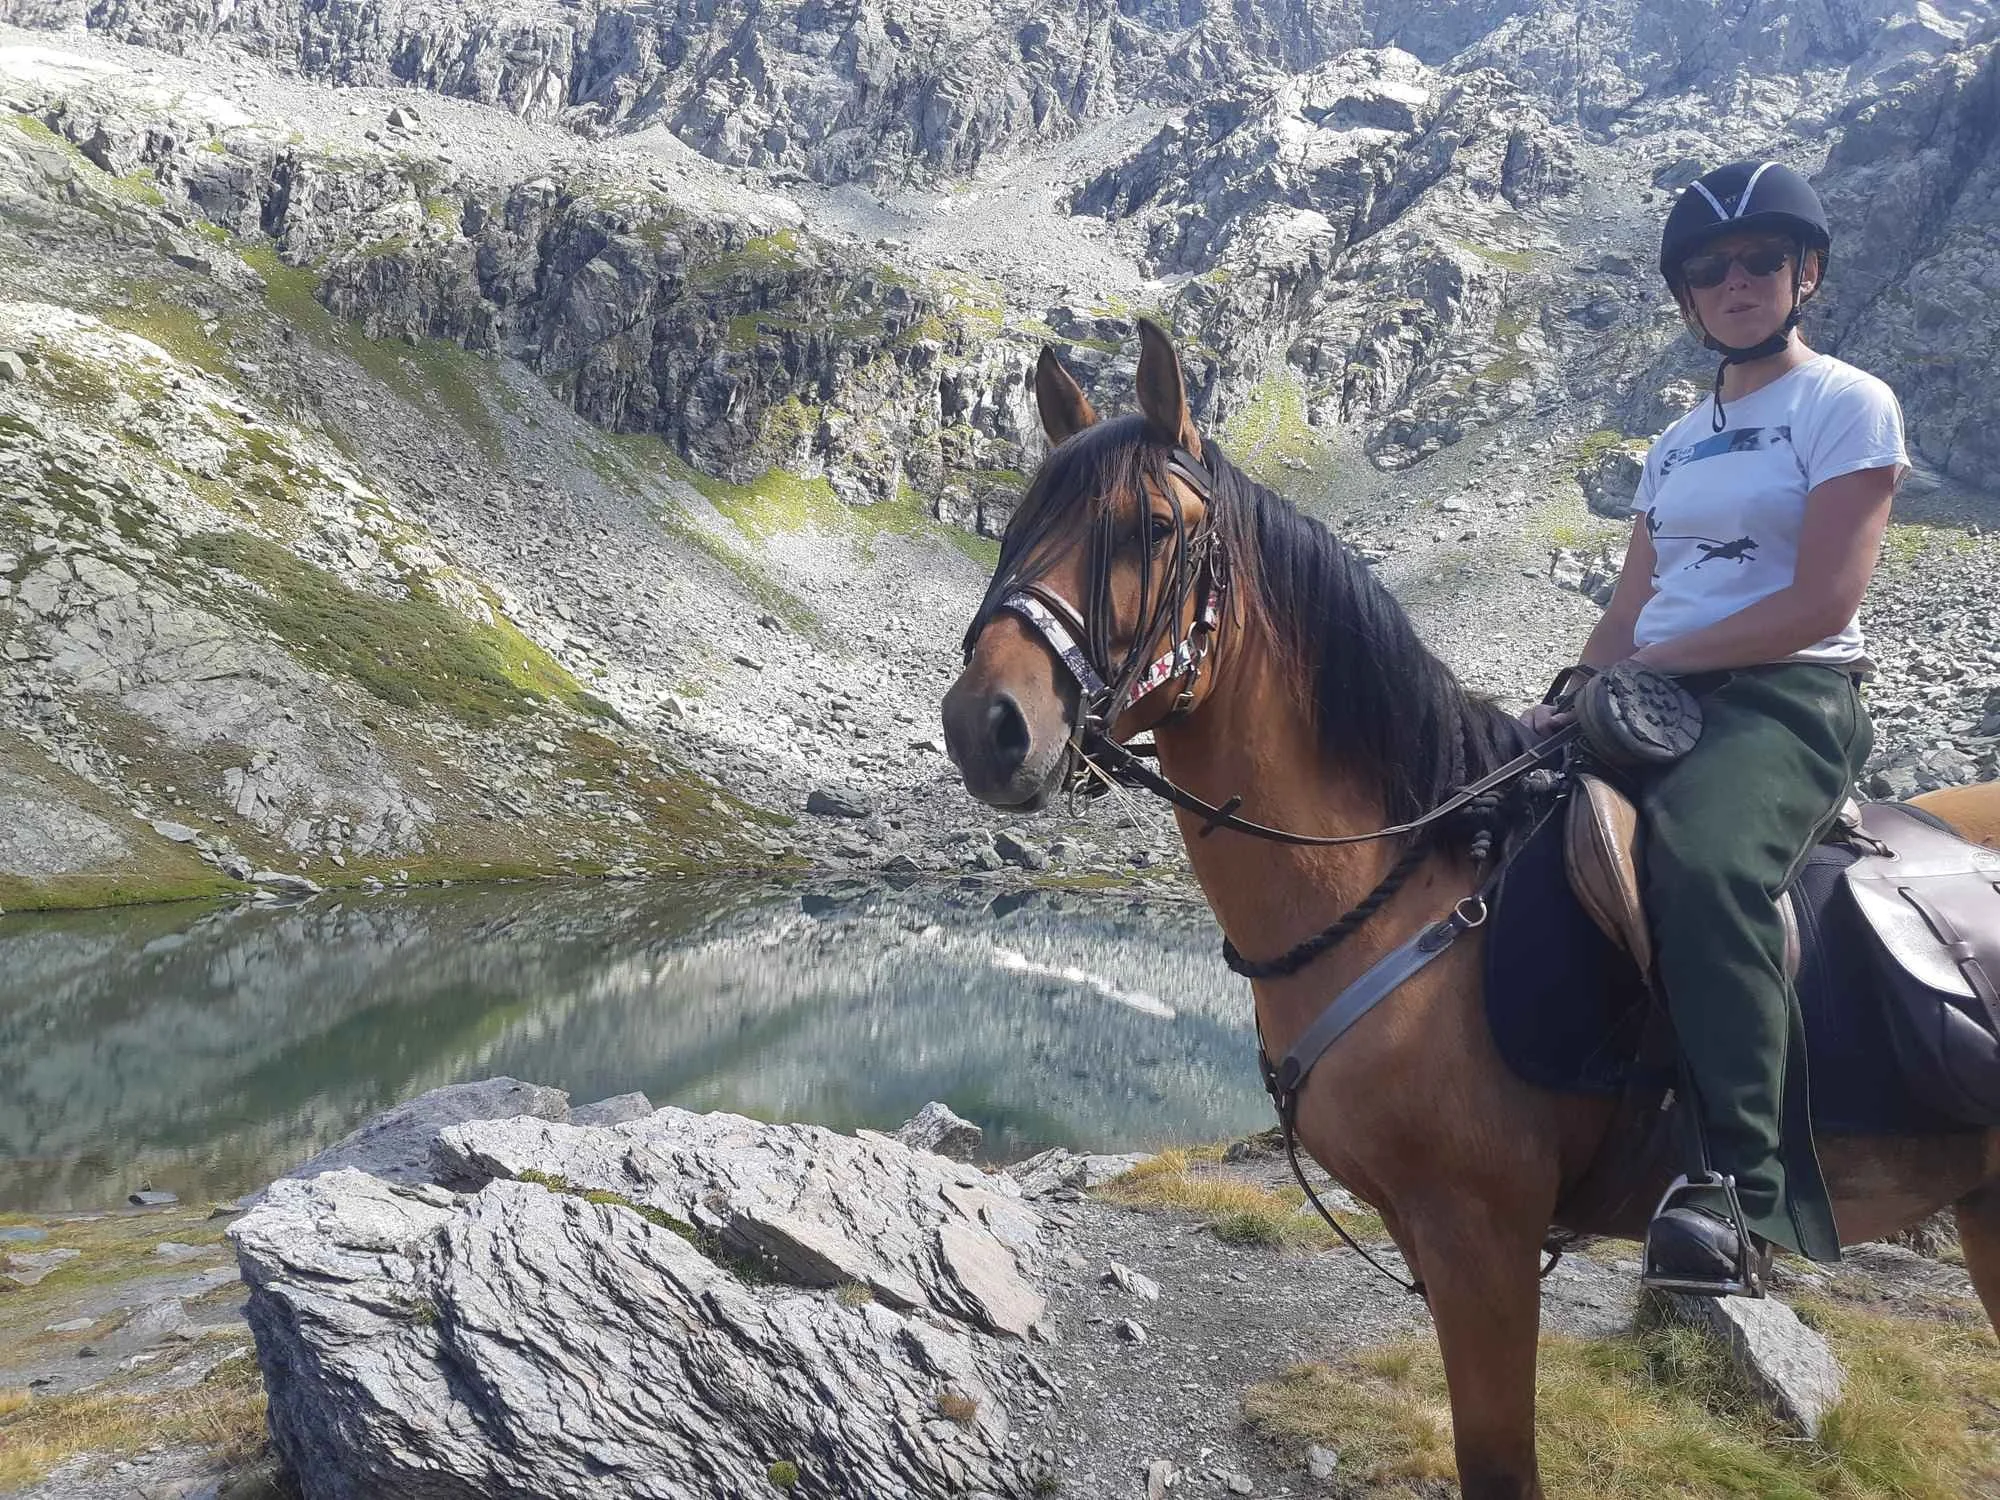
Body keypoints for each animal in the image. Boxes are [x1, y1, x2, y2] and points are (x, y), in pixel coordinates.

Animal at [940, 319, 2000, 1499]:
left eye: (1153, 528)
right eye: (1016, 524)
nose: (984, 724)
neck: (1413, 886)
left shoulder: (1479, 1240)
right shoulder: (1427, 1236)